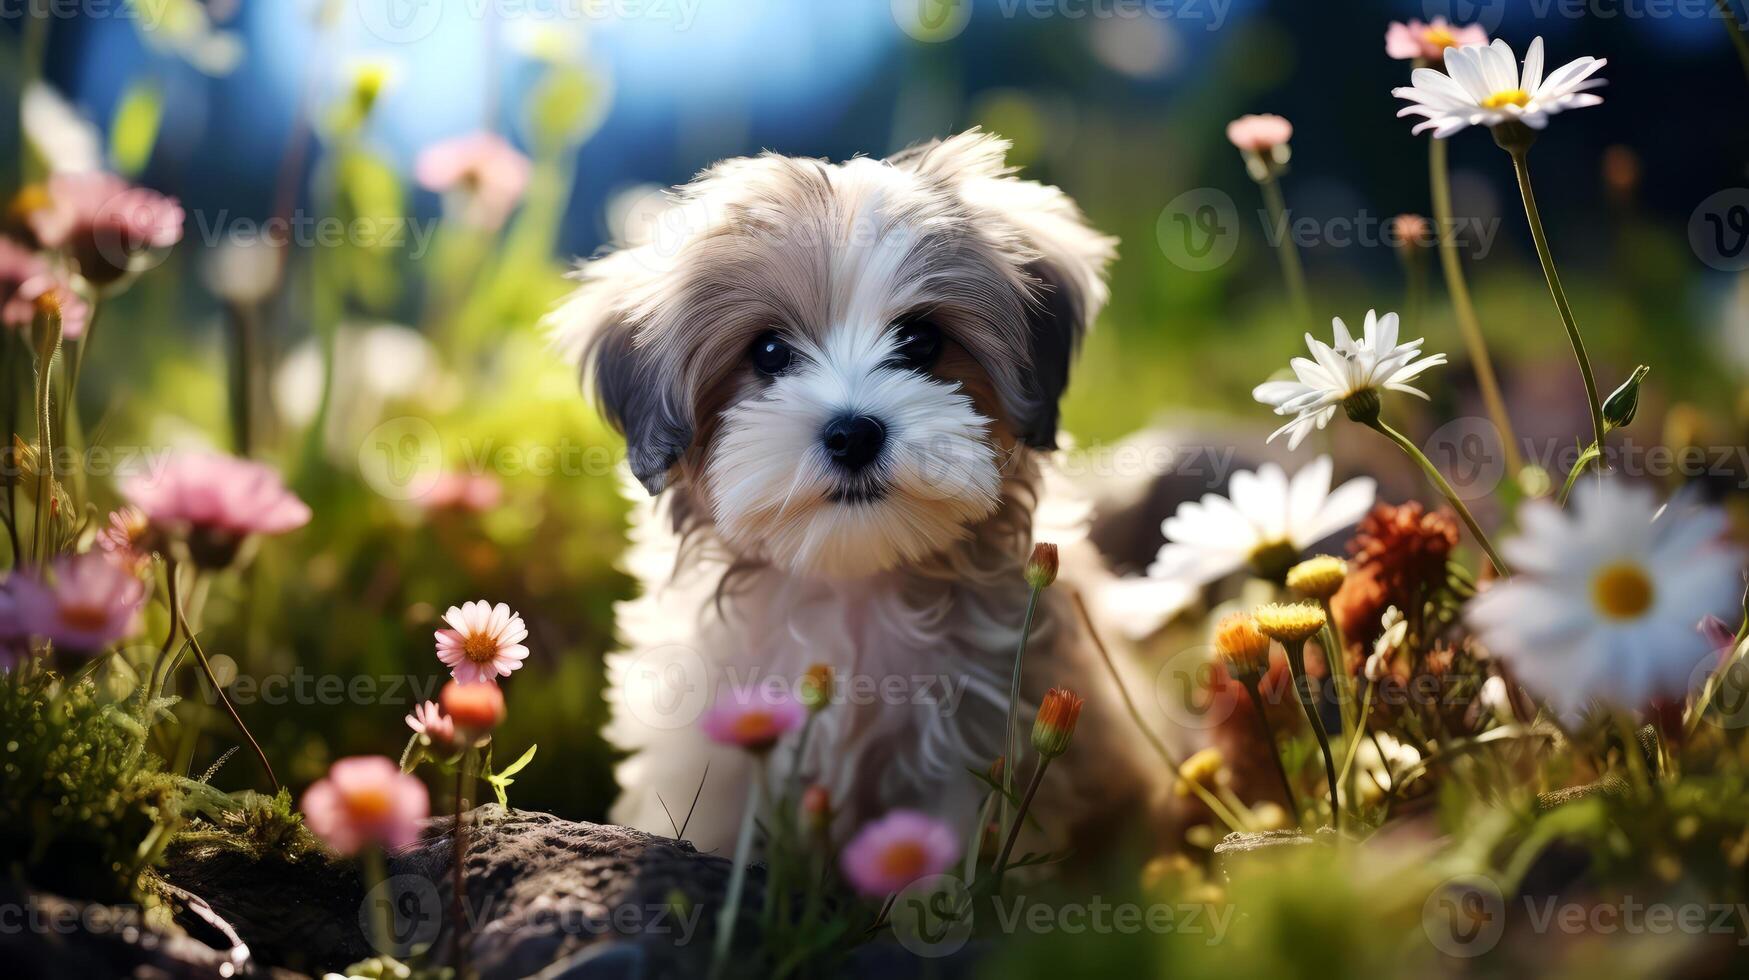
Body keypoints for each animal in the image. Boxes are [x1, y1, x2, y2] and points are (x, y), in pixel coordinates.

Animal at [545, 132, 1161, 857]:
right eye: (769, 351)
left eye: (921, 340)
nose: (853, 433)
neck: (853, 580)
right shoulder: (712, 755)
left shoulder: (976, 752)